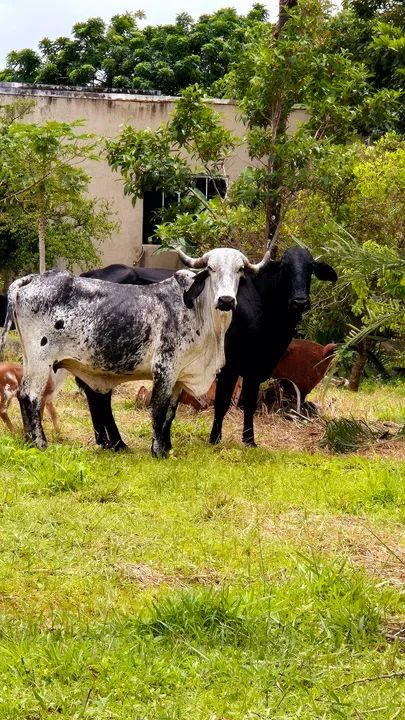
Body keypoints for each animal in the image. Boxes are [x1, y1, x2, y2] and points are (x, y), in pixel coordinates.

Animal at [0, 247, 270, 456]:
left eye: (239, 270)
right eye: (211, 268)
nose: (226, 300)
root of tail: (31, 279)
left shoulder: (179, 375)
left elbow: (170, 413)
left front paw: (167, 446)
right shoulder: (164, 368)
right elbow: (158, 409)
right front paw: (158, 451)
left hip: (30, 359)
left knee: (24, 396)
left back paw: (29, 441)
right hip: (41, 360)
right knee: (30, 396)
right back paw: (40, 443)